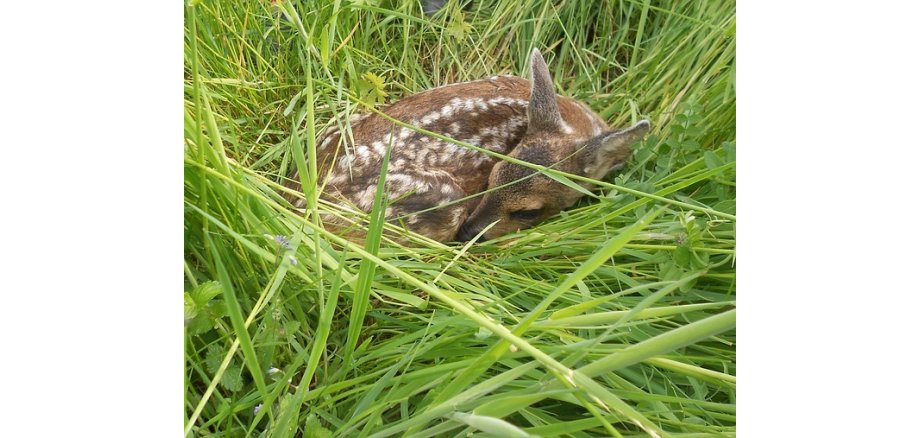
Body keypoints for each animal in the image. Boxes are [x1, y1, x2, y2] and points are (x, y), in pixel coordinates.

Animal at [284, 49, 650, 243]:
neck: (577, 122)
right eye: (491, 178)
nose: (468, 234)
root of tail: (300, 204)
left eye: (528, 211)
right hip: (437, 199)